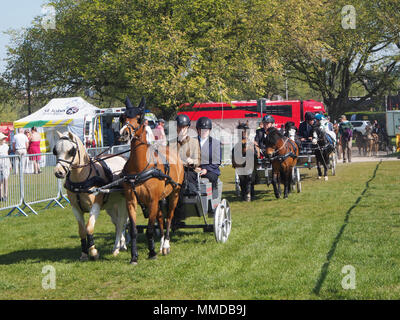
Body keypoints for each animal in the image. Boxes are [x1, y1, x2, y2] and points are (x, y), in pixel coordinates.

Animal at [52, 131, 128, 262]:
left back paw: (116, 248)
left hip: (123, 202)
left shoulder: (95, 206)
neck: (81, 180)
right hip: (110, 206)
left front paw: (93, 252)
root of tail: (122, 158)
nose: (58, 172)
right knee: (117, 222)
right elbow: (82, 231)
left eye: (71, 151)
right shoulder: (76, 208)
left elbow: (89, 228)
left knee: (121, 222)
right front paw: (84, 254)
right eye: (55, 151)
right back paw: (121, 244)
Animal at [117, 97, 183, 264]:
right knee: (161, 217)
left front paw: (151, 252)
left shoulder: (152, 200)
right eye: (123, 117)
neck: (139, 168)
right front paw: (134, 256)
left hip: (175, 193)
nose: (124, 134)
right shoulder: (132, 201)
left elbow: (150, 229)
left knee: (169, 217)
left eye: (139, 118)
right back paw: (161, 244)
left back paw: (165, 245)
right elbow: (134, 230)